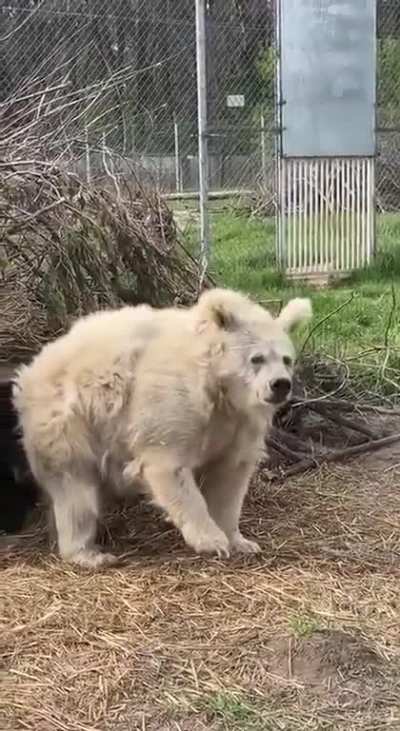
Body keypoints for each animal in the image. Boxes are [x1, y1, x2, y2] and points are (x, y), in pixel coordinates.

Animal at [12, 288, 312, 568]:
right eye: (257, 358)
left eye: (286, 359)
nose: (280, 385)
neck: (216, 385)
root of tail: (31, 370)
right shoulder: (173, 401)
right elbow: (169, 465)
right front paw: (211, 540)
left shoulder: (237, 422)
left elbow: (230, 476)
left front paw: (242, 541)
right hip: (70, 418)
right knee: (74, 488)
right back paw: (89, 553)